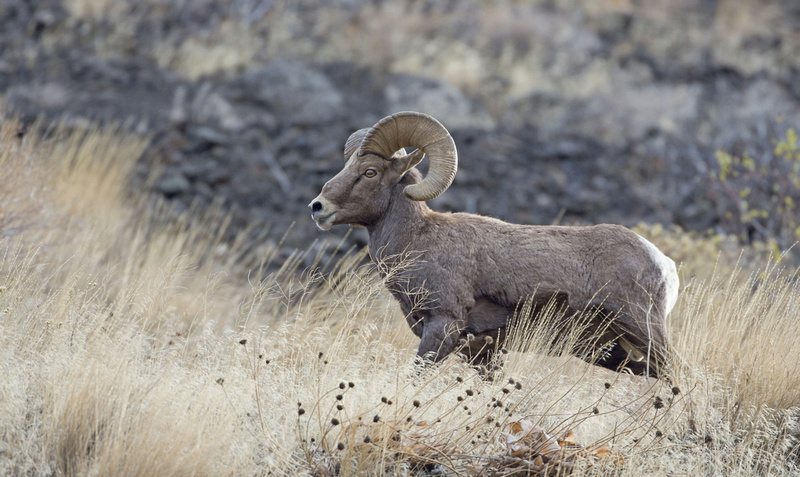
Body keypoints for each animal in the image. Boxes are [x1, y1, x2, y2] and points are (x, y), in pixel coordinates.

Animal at [310, 111, 680, 376]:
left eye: (370, 172)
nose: (318, 207)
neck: (418, 240)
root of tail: (664, 264)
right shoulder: (481, 352)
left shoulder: (442, 327)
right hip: (615, 353)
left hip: (644, 331)